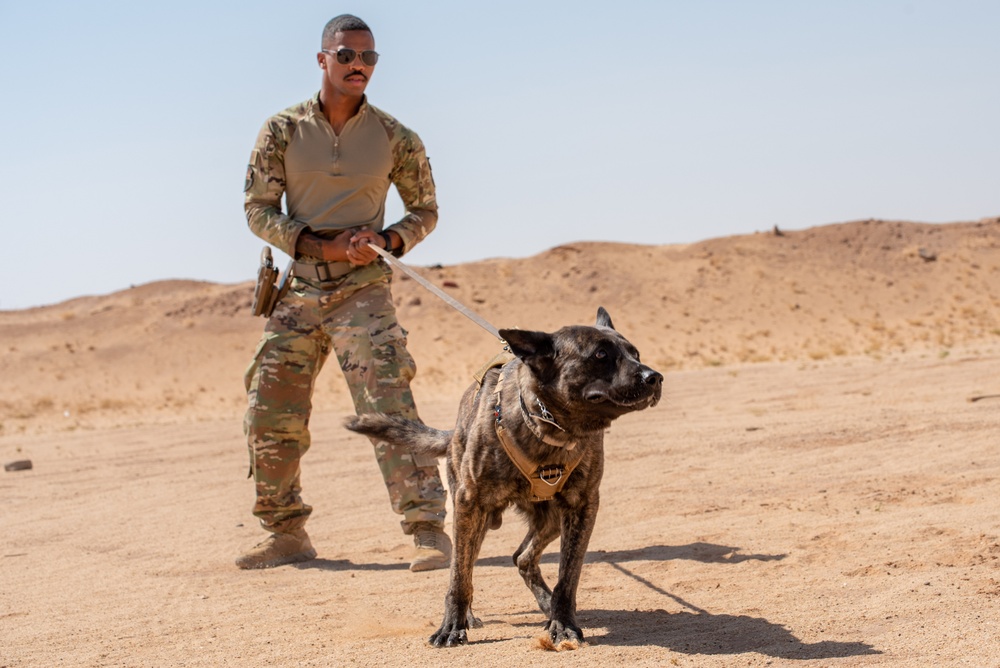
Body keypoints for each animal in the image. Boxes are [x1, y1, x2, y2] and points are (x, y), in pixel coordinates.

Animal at [346, 308, 664, 648]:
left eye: (635, 353)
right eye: (601, 354)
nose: (655, 377)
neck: (549, 429)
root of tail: (455, 429)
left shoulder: (583, 506)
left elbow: (568, 576)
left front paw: (563, 623)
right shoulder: (469, 504)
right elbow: (459, 576)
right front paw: (452, 626)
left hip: (551, 519)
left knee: (521, 557)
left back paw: (547, 604)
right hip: (476, 517)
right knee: (467, 563)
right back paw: (468, 615)